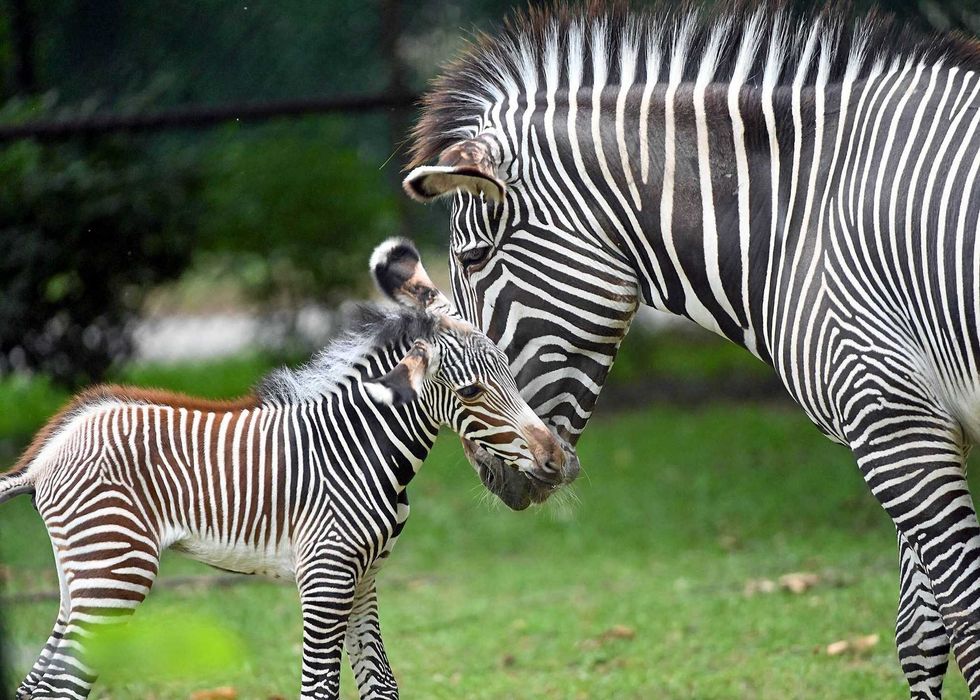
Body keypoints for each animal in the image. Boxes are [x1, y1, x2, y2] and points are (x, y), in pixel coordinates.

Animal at [0, 238, 565, 700]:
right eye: (470, 392)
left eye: (509, 371)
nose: (558, 461)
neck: (358, 447)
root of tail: (44, 458)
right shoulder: (326, 578)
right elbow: (319, 690)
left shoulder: (364, 580)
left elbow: (382, 686)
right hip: (115, 568)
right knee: (61, 685)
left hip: (83, 576)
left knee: (40, 684)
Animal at [402, 3, 980, 697]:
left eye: (471, 259)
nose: (489, 475)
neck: (797, 218)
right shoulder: (925, 427)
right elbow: (919, 634)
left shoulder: (893, 421)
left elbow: (964, 618)